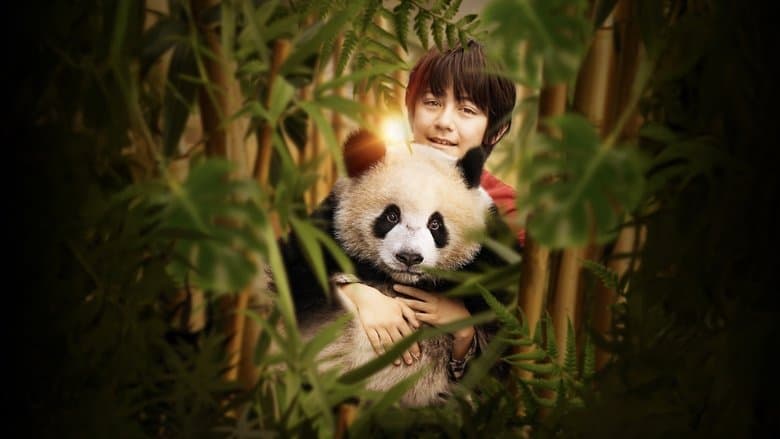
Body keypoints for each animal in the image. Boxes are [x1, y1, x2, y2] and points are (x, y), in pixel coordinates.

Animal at [282, 129, 512, 407]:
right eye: (391, 216)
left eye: (435, 224)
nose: (409, 257)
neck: (399, 281)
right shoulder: (325, 234)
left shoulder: (489, 257)